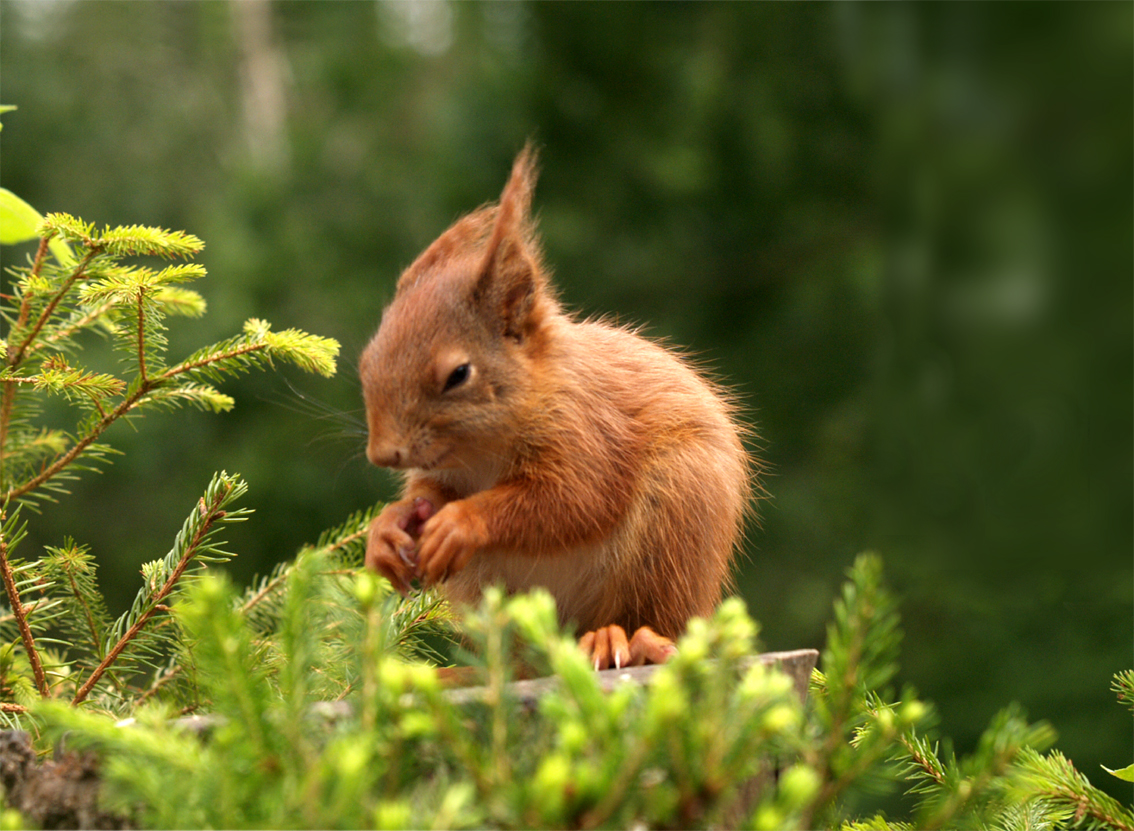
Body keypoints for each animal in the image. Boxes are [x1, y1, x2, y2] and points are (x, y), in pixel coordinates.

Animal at [362, 147, 752, 666]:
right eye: (367, 359)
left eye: (458, 375)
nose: (383, 454)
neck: (482, 452)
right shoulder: (445, 475)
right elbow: (427, 493)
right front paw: (387, 529)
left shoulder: (586, 431)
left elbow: (570, 501)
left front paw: (462, 522)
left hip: (676, 517)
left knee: (649, 615)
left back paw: (622, 641)